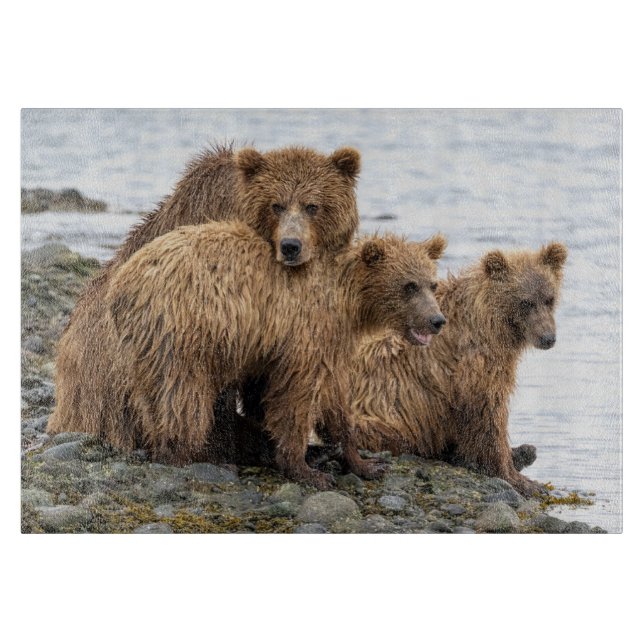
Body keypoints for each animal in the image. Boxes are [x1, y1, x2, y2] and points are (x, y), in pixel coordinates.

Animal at [104, 221, 448, 489]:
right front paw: (306, 470)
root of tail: (120, 282)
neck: (349, 301)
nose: (437, 320)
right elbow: (296, 396)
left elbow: (335, 400)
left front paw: (364, 463)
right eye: (409, 285)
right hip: (181, 329)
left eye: (432, 283)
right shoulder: (305, 332)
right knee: (182, 394)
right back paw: (185, 453)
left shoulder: (329, 344)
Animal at [350, 242, 567, 496]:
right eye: (525, 302)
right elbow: (487, 412)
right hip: (377, 415)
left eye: (549, 298)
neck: (493, 322)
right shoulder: (475, 362)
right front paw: (520, 479)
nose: (548, 337)